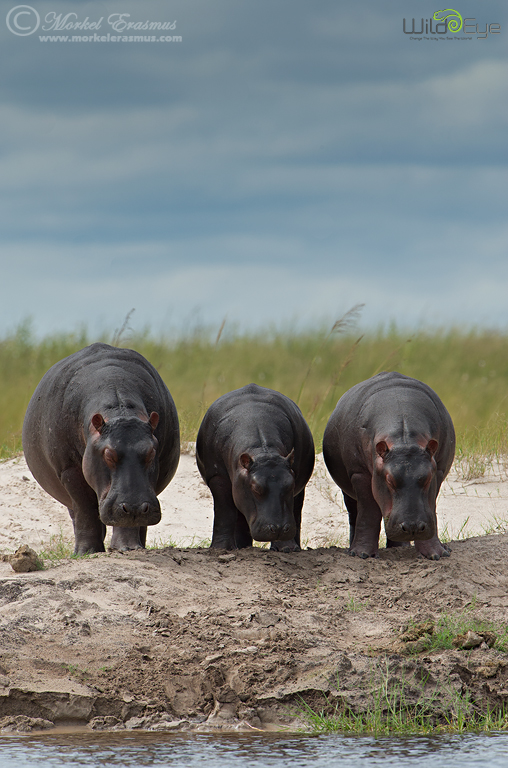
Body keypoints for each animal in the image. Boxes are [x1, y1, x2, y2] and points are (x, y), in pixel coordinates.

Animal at [22, 342, 180, 554]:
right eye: (108, 455)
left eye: (151, 452)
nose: (136, 509)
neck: (119, 409)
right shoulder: (70, 469)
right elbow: (86, 509)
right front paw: (87, 552)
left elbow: (126, 522)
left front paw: (128, 548)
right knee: (79, 514)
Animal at [196, 383, 315, 551]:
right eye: (256, 488)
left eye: (290, 485)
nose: (278, 529)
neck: (263, 450)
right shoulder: (218, 477)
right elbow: (225, 512)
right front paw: (221, 548)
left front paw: (286, 548)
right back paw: (241, 547)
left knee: (297, 513)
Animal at [323, 372, 455, 561]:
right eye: (389, 480)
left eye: (427, 478)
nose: (413, 527)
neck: (404, 438)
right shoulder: (360, 474)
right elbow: (368, 513)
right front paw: (361, 553)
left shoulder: (438, 471)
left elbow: (431, 507)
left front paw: (437, 553)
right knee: (355, 514)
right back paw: (352, 548)